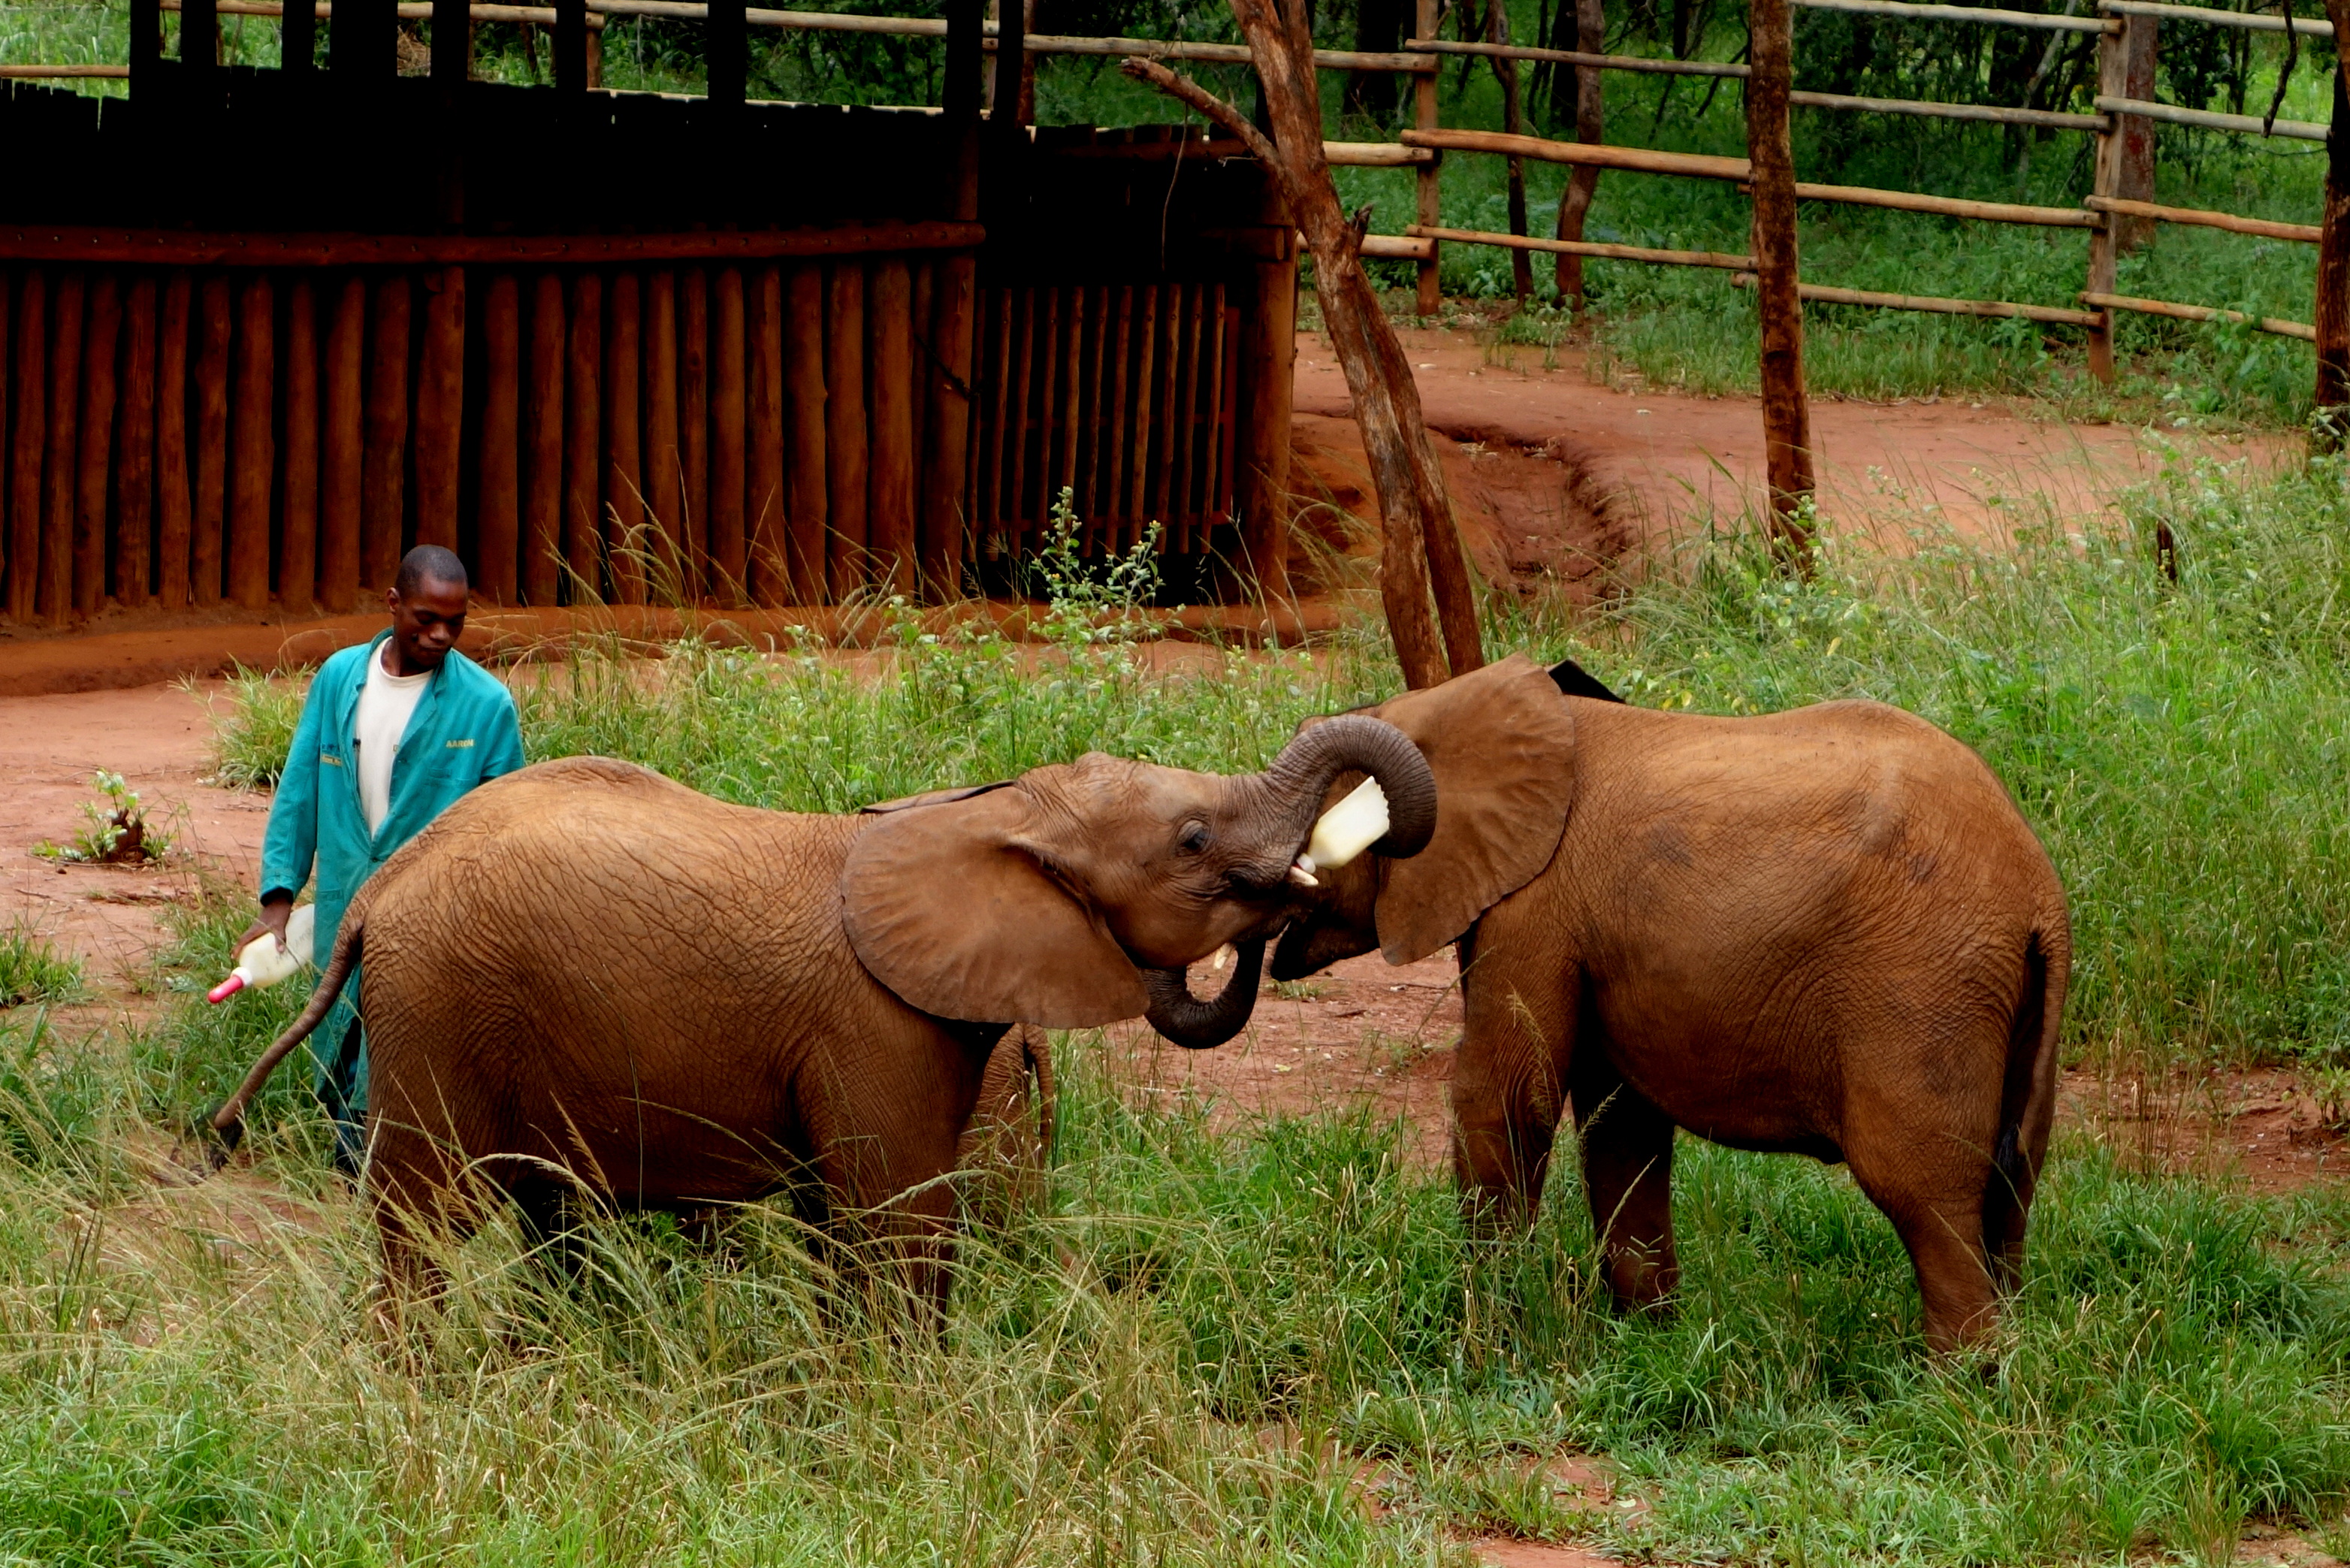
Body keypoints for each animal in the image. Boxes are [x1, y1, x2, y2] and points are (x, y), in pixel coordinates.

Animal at [1259, 658, 2068, 1354]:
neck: (1438, 706)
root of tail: (2039, 895)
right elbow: (1621, 1123)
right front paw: (1646, 1339)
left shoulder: (1535, 906)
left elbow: (1506, 1098)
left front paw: (1487, 1334)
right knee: (2012, 1183)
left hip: (1920, 984)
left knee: (1927, 1189)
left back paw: (1957, 1385)